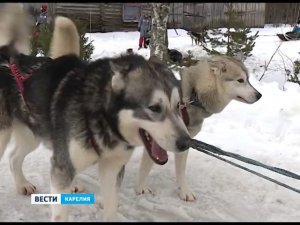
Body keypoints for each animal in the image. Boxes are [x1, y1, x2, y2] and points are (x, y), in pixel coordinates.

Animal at [0, 5, 190, 221]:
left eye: (178, 105)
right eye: (154, 108)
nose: (186, 142)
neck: (101, 118)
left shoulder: (112, 169)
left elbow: (110, 205)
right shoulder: (62, 169)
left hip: (32, 134)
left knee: (14, 157)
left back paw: (22, 184)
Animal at [135, 55, 260, 201]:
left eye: (248, 80)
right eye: (240, 80)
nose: (259, 95)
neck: (195, 97)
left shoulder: (183, 143)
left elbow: (180, 171)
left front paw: (184, 191)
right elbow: (146, 167)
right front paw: (142, 188)